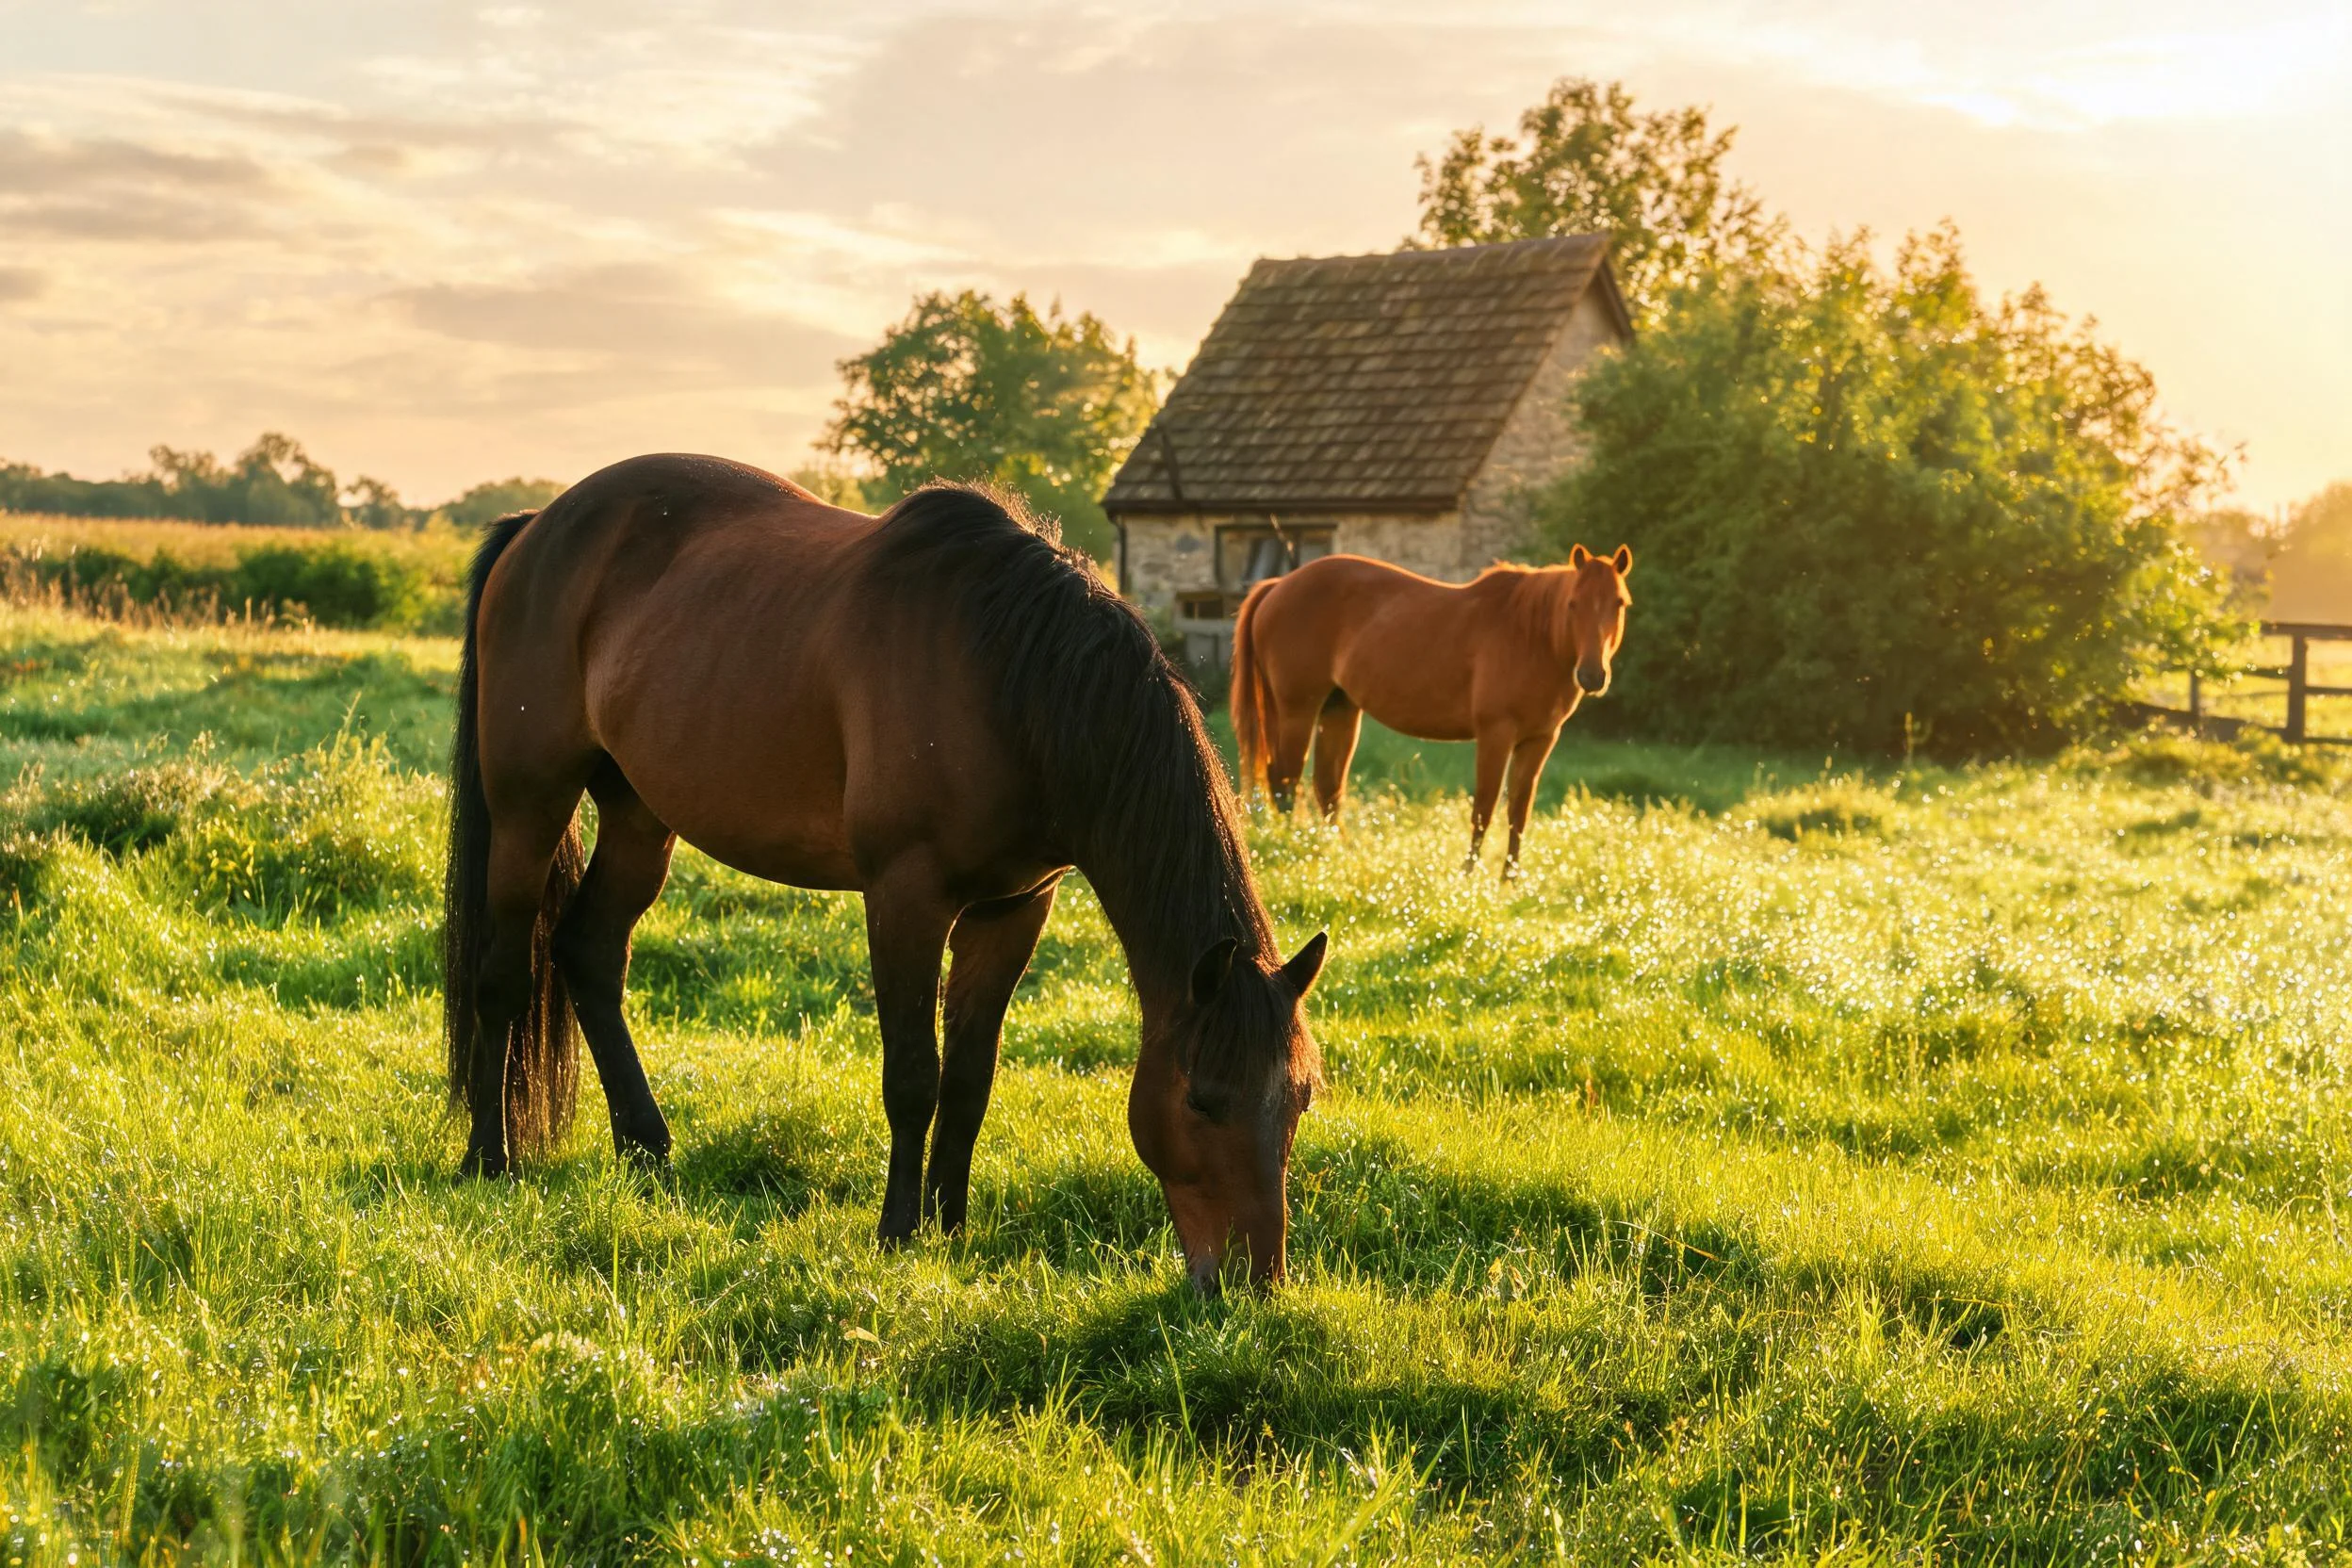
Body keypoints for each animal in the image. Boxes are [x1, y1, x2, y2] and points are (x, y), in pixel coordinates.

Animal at [443, 454, 1329, 1291]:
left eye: (1299, 1099)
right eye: (1202, 1098)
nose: (1253, 1281)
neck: (1007, 678)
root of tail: (536, 527)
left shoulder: (1016, 907)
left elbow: (969, 1079)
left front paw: (952, 1227)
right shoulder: (906, 896)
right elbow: (913, 1076)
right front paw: (899, 1232)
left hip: (639, 815)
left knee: (589, 952)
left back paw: (646, 1148)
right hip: (529, 804)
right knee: (502, 973)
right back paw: (490, 1158)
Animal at [1229, 545, 1632, 877]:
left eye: (1619, 603)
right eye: (1573, 603)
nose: (1592, 675)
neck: (1531, 637)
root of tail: (1277, 585)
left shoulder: (1539, 740)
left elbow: (1519, 811)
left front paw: (1510, 880)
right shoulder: (1496, 734)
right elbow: (1484, 807)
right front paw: (1468, 874)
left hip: (1339, 710)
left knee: (1327, 788)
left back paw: (1340, 853)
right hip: (1297, 710)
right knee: (1284, 782)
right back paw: (1294, 847)